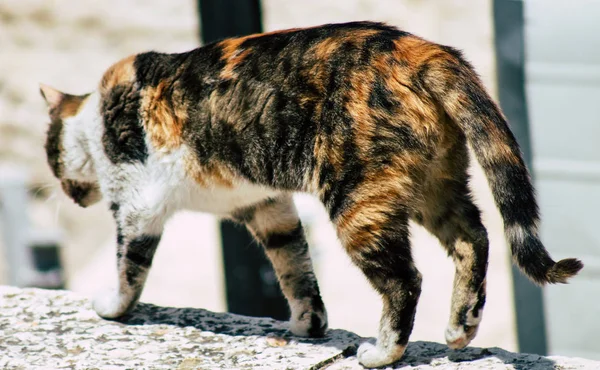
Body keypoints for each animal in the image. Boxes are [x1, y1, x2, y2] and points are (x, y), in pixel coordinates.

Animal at [38, 21, 580, 368]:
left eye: (49, 154)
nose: (64, 191)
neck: (96, 121)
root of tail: (421, 49)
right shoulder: (266, 207)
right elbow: (295, 269)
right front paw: (309, 324)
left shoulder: (136, 209)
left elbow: (128, 267)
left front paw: (112, 308)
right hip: (435, 185)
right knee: (475, 238)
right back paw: (461, 326)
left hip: (358, 203)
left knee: (406, 281)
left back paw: (383, 353)